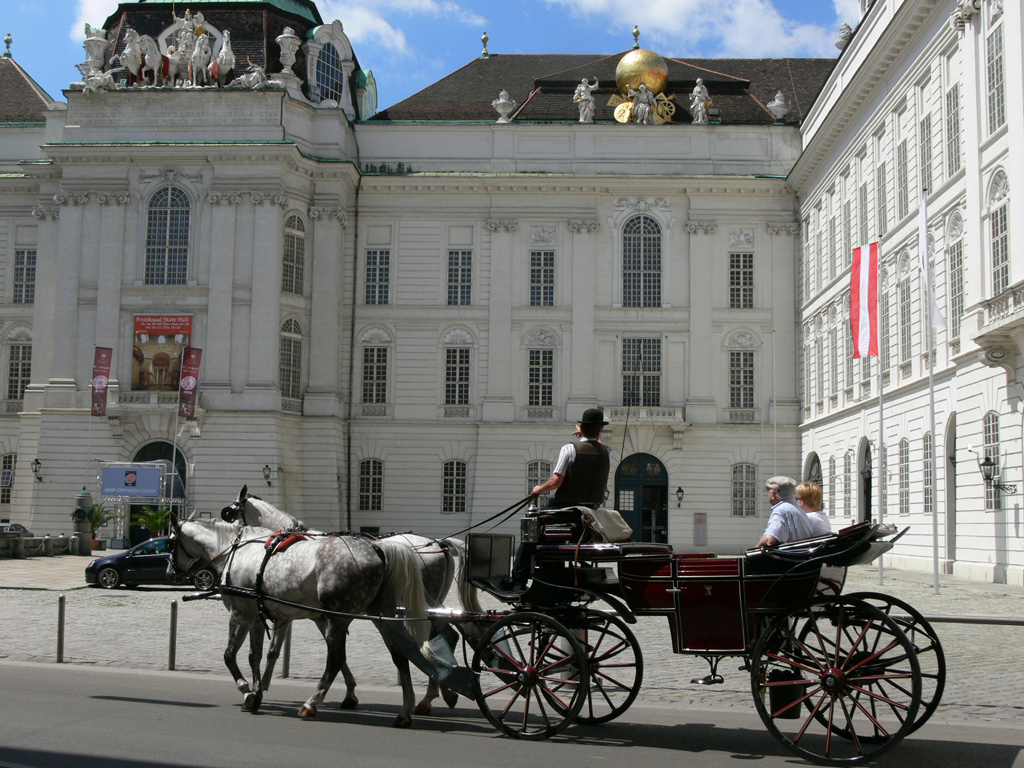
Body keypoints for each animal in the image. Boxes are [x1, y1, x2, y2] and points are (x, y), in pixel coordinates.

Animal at [172, 518, 432, 729]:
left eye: (171, 542)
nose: (171, 571)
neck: (237, 550)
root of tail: (377, 547)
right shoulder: (257, 618)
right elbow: (255, 656)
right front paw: (256, 693)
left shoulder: (240, 615)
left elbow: (229, 656)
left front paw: (246, 689)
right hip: (381, 618)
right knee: (399, 656)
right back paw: (405, 710)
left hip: (337, 619)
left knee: (336, 659)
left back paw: (311, 703)